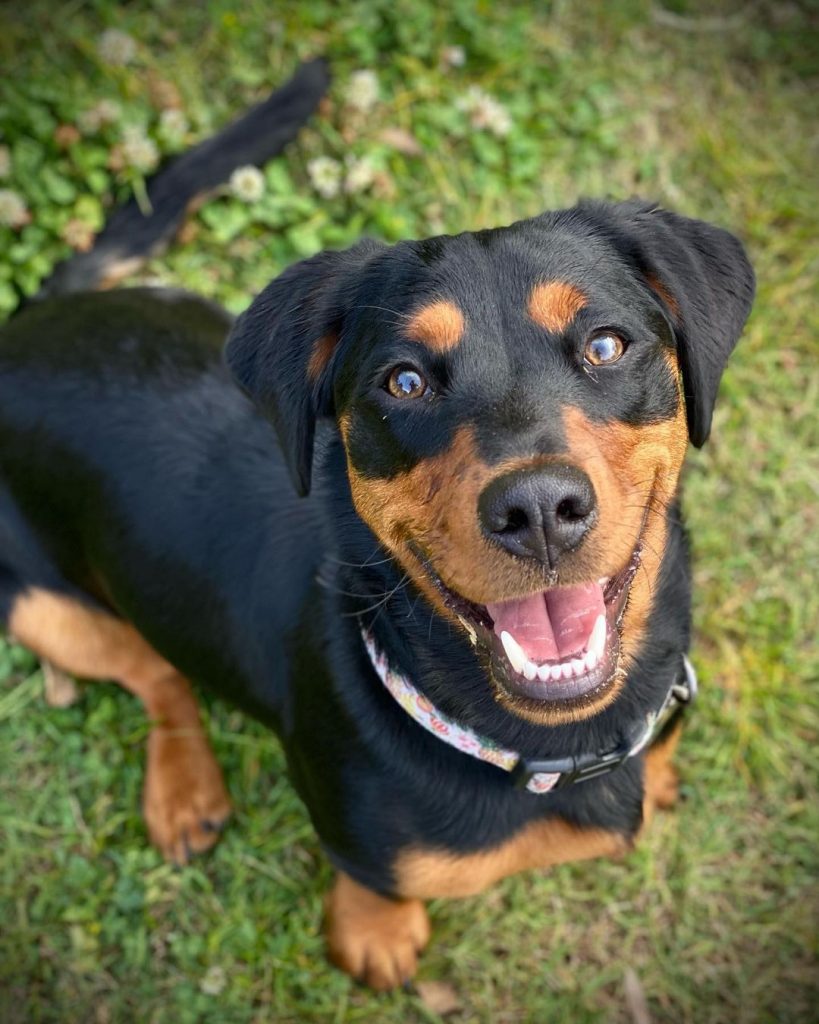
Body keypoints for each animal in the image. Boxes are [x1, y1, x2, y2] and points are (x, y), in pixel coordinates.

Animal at [0, 66, 753, 991]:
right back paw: (183, 790)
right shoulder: (359, 840)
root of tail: (22, 329)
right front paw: (376, 933)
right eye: (403, 381)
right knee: (156, 674)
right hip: (40, 606)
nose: (538, 509)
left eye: (606, 345)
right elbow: (375, 880)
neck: (547, 744)